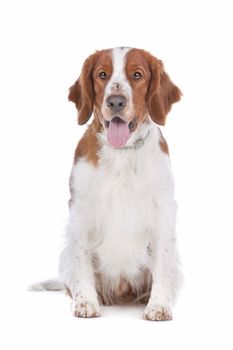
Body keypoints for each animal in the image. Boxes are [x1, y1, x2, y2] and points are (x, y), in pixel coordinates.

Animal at [35, 47, 184, 322]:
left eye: (137, 75)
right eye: (102, 74)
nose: (116, 101)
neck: (121, 154)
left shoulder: (164, 209)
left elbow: (162, 263)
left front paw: (159, 305)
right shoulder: (80, 209)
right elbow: (82, 258)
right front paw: (86, 302)